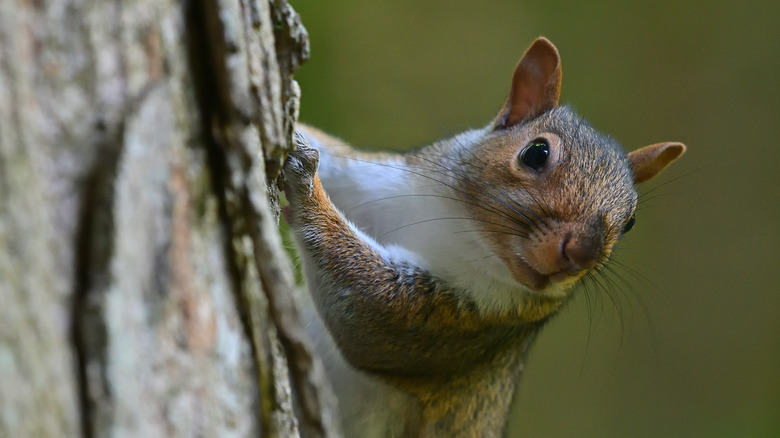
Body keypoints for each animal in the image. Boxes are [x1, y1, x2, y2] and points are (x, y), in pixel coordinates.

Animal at [284, 38, 684, 438]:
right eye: (536, 153)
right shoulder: (375, 181)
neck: (461, 229)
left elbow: (368, 310)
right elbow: (335, 158)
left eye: (629, 221)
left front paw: (306, 192)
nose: (581, 254)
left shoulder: (467, 323)